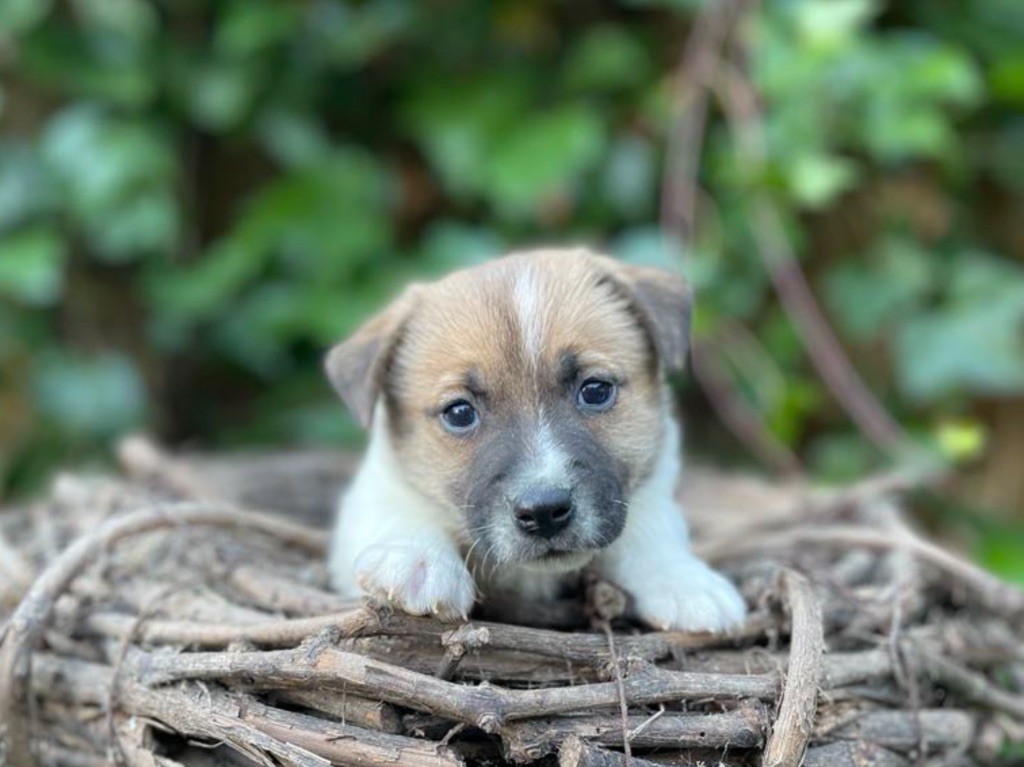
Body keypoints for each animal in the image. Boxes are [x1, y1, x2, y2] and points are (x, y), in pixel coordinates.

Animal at [325, 248, 745, 630]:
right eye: (459, 413)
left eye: (595, 391)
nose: (544, 512)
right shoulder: (378, 490)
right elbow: (400, 511)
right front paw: (417, 561)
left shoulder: (651, 485)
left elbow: (651, 528)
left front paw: (684, 582)